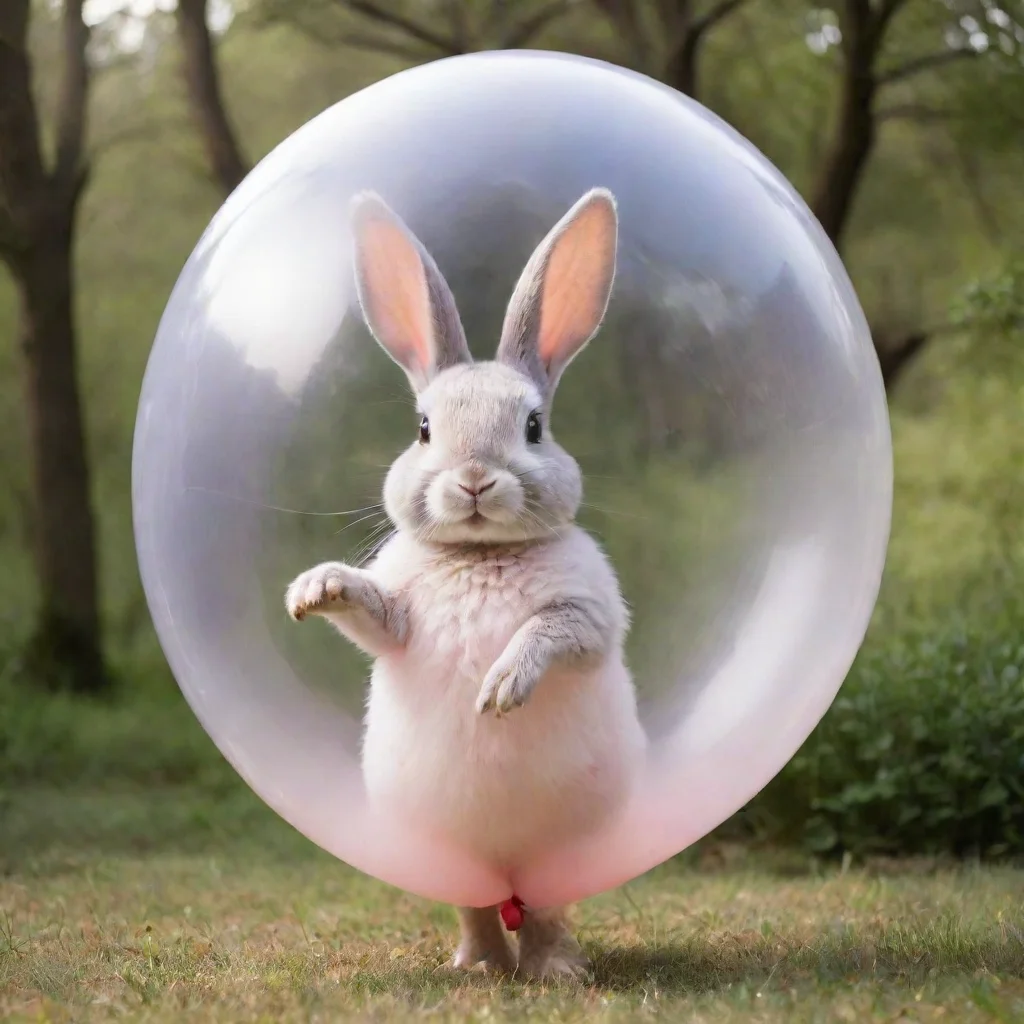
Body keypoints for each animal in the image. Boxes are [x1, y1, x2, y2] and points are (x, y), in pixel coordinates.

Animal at [285, 186, 647, 980]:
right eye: (423, 428)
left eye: (534, 427)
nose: (475, 479)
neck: (479, 555)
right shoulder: (396, 616)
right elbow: (369, 608)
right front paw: (312, 590)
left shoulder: (588, 614)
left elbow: (550, 631)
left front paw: (501, 689)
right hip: (449, 858)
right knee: (476, 906)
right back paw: (478, 965)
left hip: (558, 855)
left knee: (544, 909)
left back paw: (553, 969)